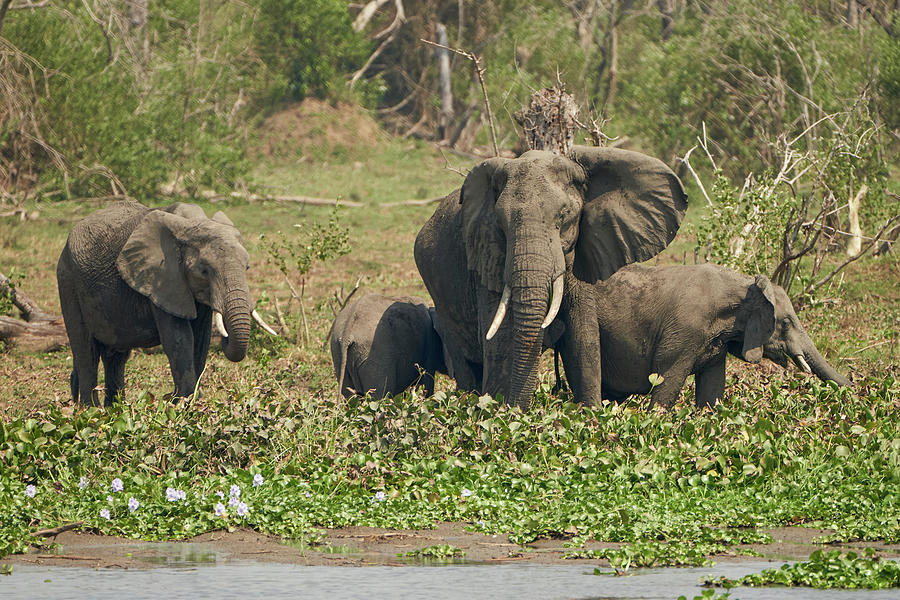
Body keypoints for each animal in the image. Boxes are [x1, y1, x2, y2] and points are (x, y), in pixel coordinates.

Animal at [57, 203, 253, 408]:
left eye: (246, 267)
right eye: (204, 271)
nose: (225, 336)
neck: (191, 223)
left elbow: (200, 339)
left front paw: (194, 402)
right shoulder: (162, 278)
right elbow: (179, 338)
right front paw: (184, 404)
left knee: (116, 356)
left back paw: (116, 409)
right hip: (68, 280)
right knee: (87, 351)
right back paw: (92, 410)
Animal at [416, 146, 688, 408]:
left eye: (564, 215)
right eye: (501, 224)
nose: (514, 408)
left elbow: (583, 337)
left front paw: (591, 414)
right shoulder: (486, 257)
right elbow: (501, 340)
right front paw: (500, 413)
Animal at [548, 262, 852, 408]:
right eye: (786, 322)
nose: (857, 389)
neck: (744, 285)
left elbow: (712, 392)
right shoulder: (683, 332)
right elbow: (666, 383)